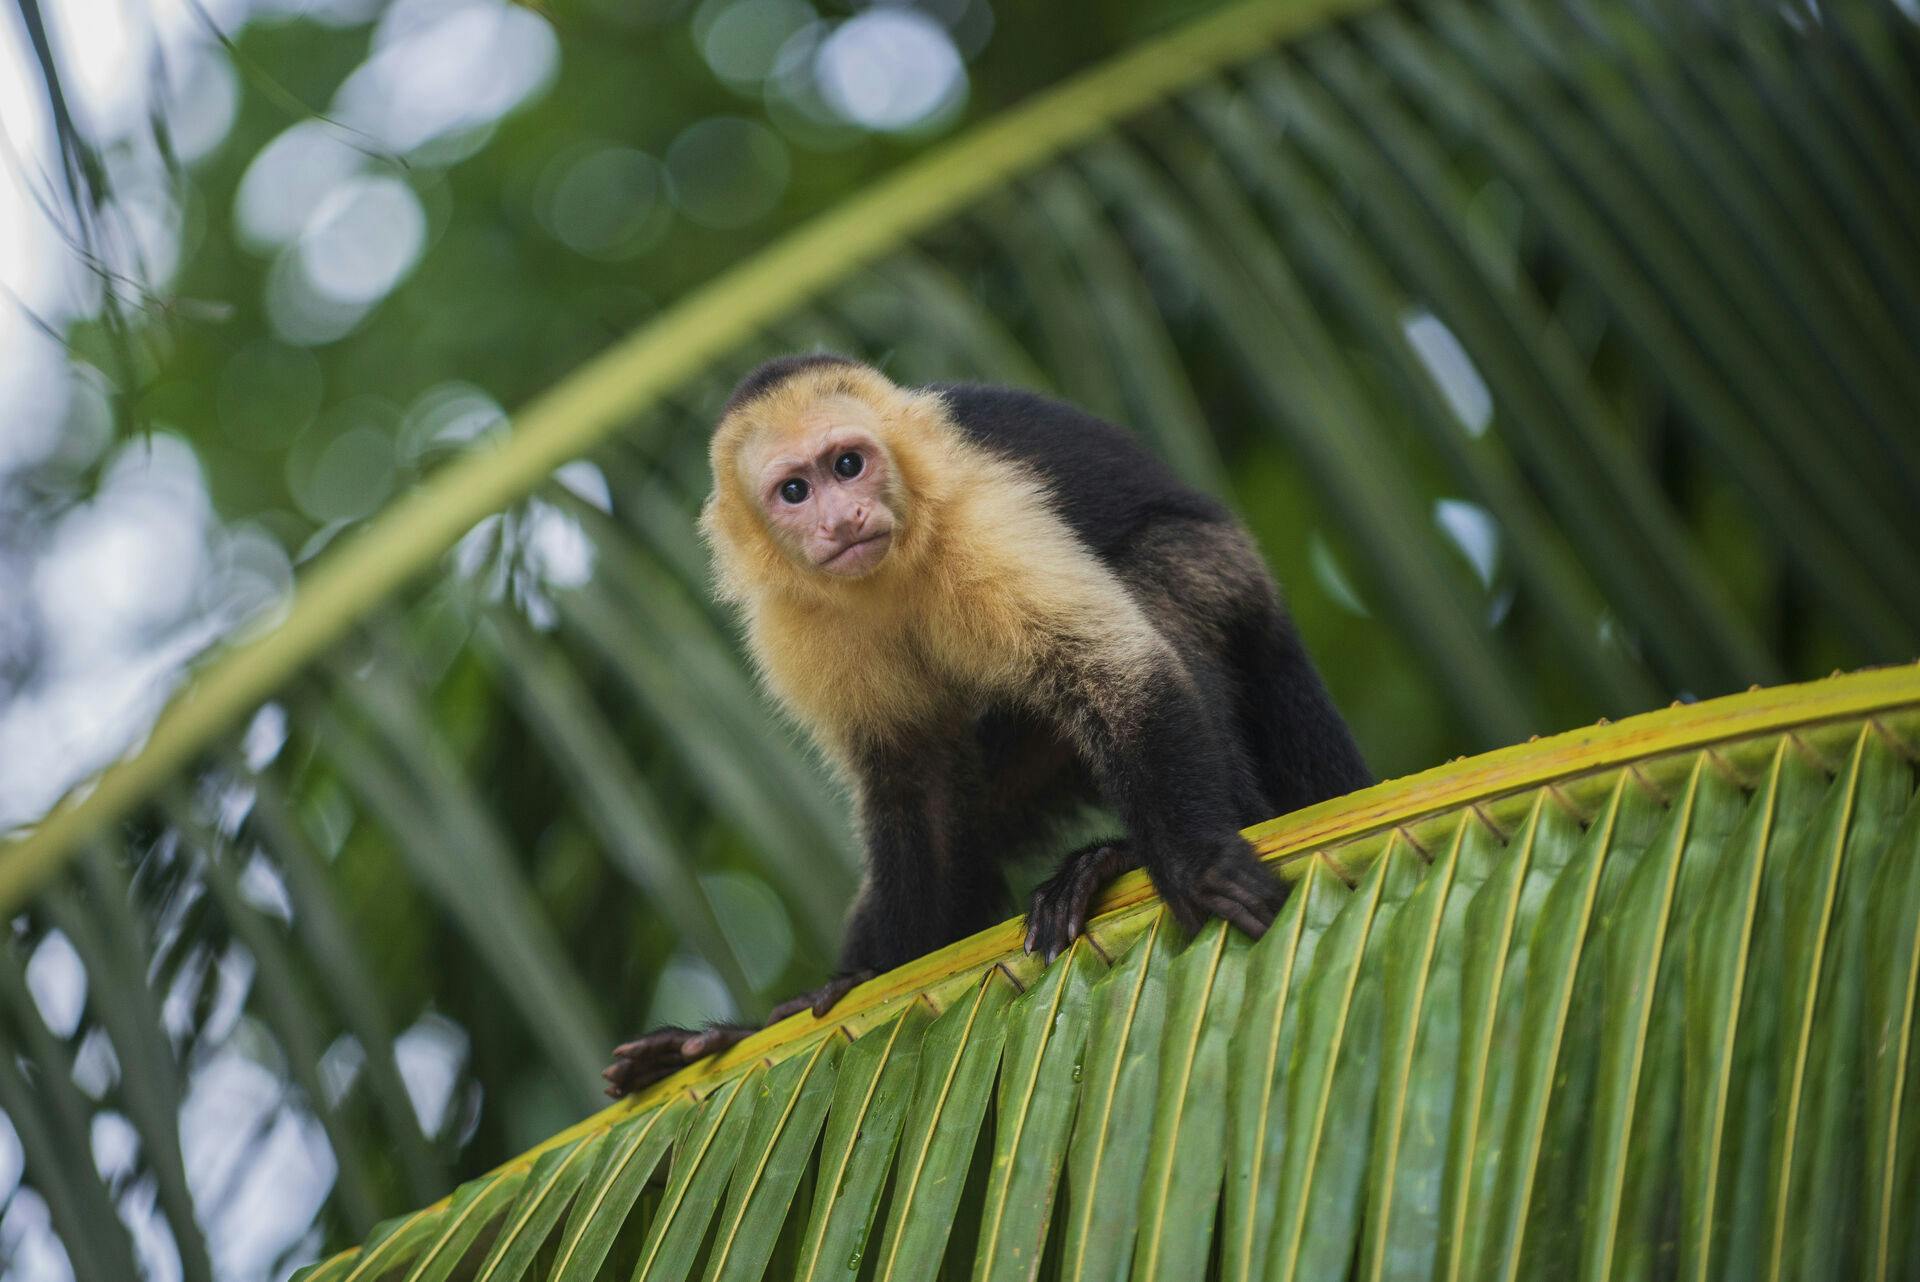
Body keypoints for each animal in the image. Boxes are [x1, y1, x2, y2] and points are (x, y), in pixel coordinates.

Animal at [599, 355, 1367, 1097]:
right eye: (794, 491)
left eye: (847, 464)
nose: (842, 519)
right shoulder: (791, 624)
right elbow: (913, 785)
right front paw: (879, 980)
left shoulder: (983, 520)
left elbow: (1119, 670)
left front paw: (1198, 866)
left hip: (1220, 564)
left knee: (1159, 588)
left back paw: (1142, 850)